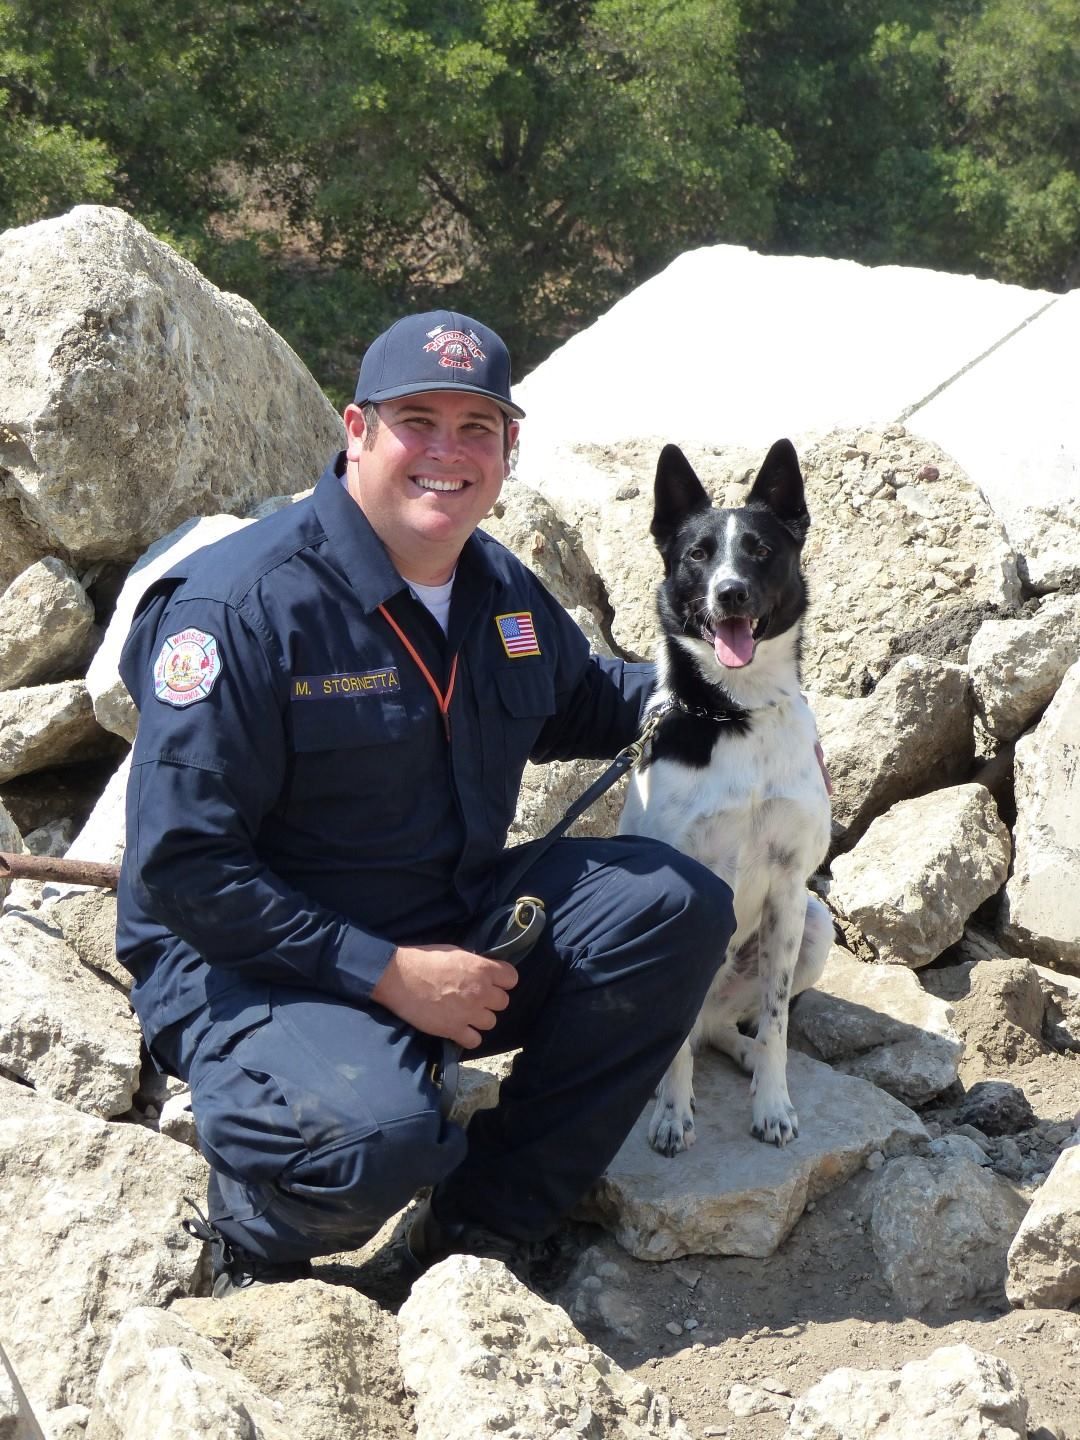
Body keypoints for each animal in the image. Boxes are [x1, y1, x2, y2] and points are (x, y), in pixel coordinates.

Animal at [616, 443, 835, 1152]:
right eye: (698, 553)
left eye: (761, 550)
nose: (730, 591)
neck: (736, 714)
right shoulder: (685, 881)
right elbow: (675, 1051)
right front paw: (673, 1113)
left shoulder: (792, 886)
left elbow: (778, 1020)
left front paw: (772, 1104)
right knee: (682, 1035)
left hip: (816, 924)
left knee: (724, 1027)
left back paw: (745, 1054)